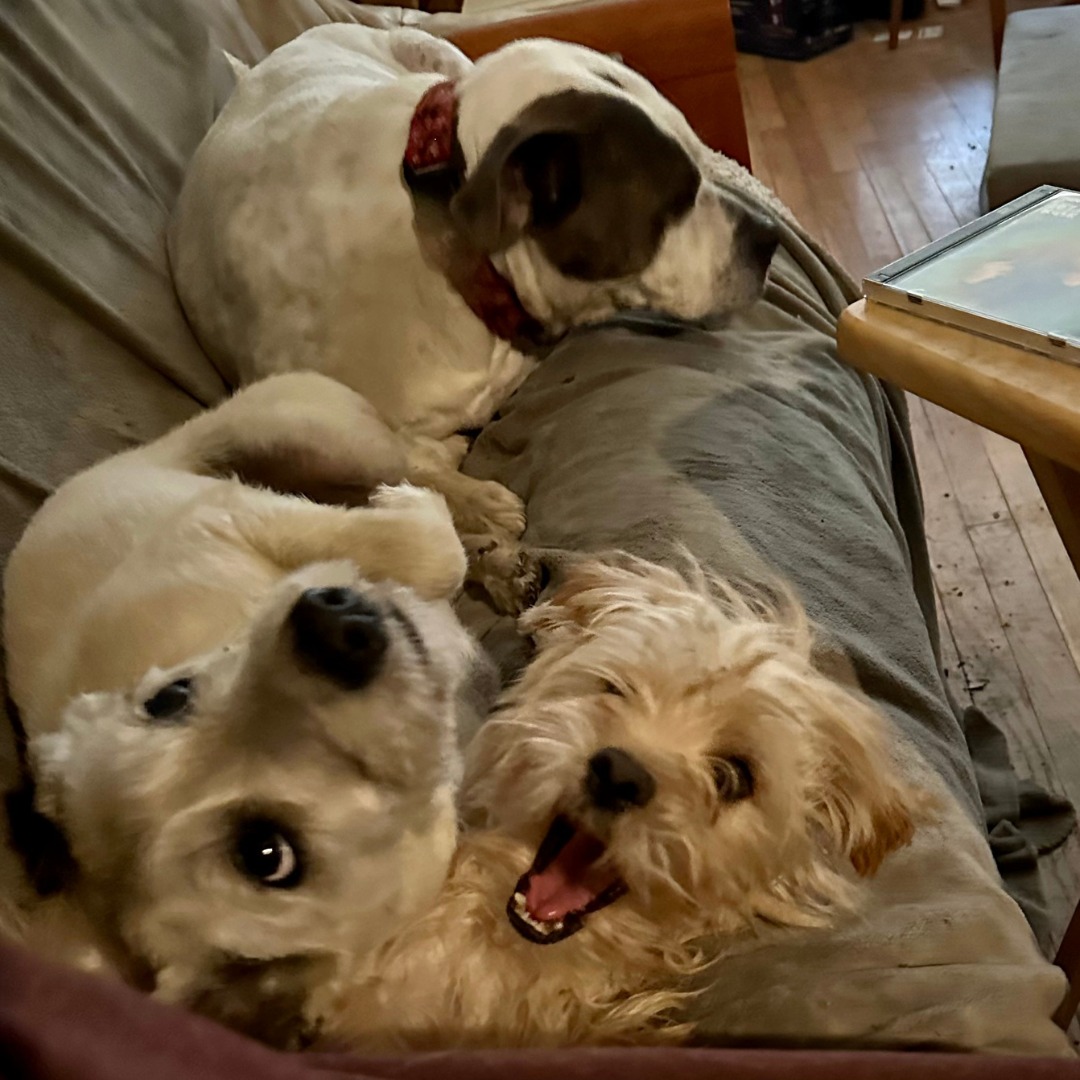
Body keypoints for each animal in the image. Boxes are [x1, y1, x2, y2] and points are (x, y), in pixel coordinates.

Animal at [3, 371, 494, 1045]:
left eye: (169, 699)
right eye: (268, 855)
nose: (335, 626)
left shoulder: (227, 517)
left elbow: (416, 547)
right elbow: (431, 551)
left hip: (318, 435)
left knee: (410, 455)